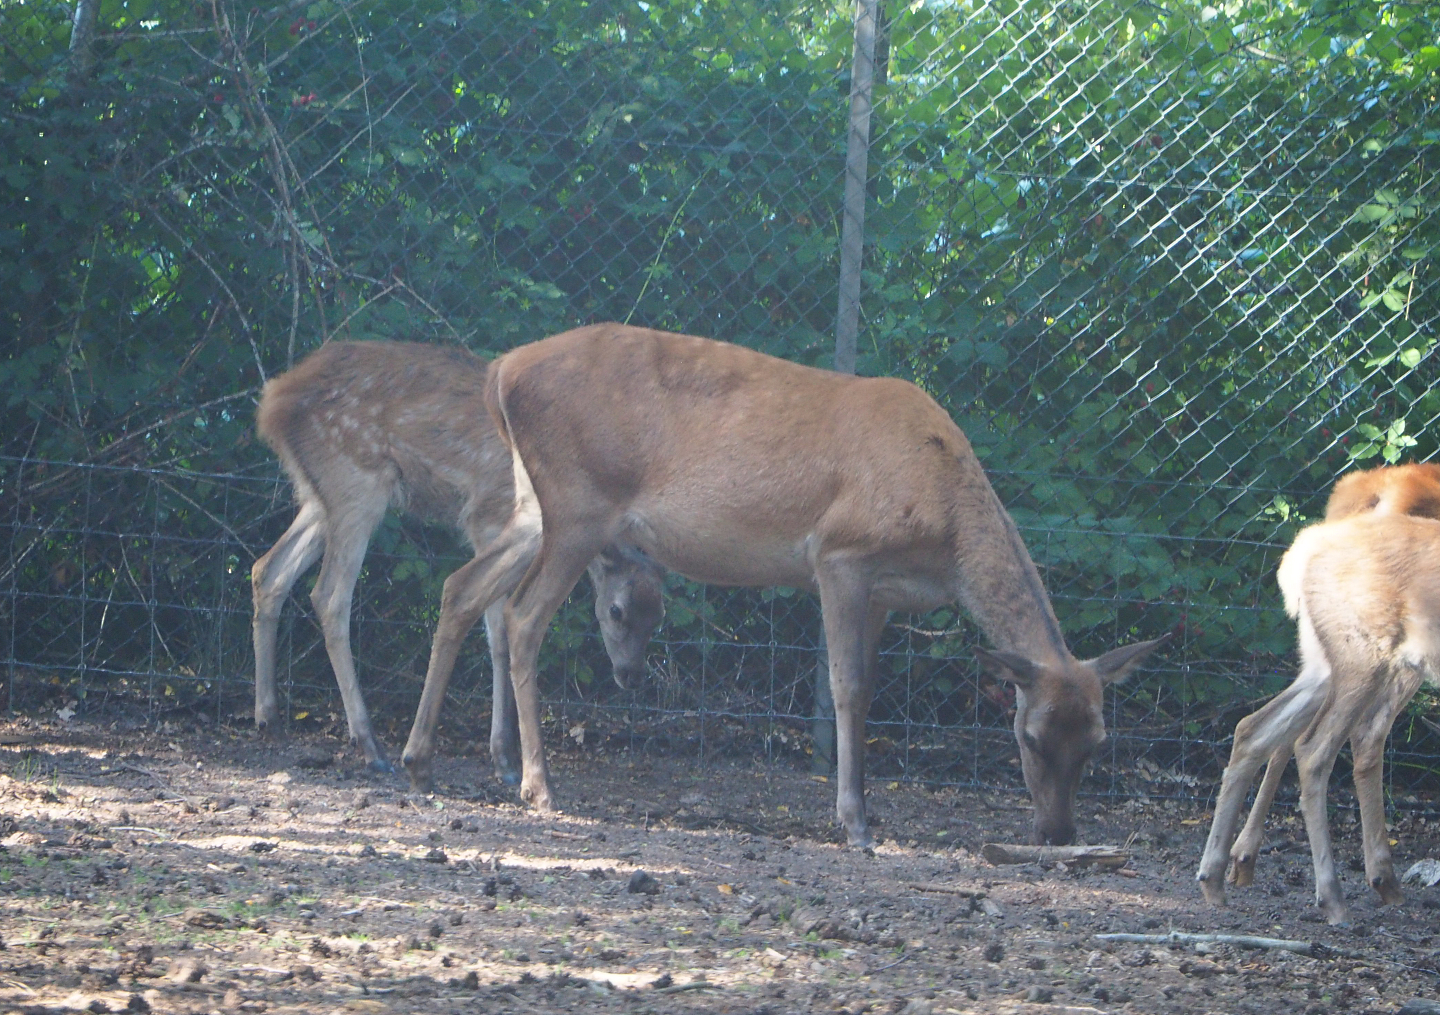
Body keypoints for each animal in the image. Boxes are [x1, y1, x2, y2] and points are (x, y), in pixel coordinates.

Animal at [252, 340, 666, 780]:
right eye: (616, 610)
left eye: (657, 617)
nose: (632, 676)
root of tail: (273, 401)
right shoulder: (487, 516)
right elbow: (497, 631)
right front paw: (504, 759)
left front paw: (504, 757)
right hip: (357, 481)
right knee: (329, 595)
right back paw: (369, 745)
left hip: (319, 494)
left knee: (269, 570)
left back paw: (270, 719)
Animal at [396, 324, 1166, 846]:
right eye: (1030, 737)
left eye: (1098, 741)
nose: (1059, 832)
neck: (943, 531)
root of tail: (500, 373)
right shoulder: (841, 553)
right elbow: (846, 687)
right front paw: (854, 820)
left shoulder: (887, 592)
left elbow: (871, 689)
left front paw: (864, 805)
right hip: (578, 501)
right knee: (522, 616)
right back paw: (537, 784)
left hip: (536, 506)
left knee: (462, 588)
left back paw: (420, 760)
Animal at [1203, 462, 1440, 896]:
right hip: (1369, 660)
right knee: (1328, 743)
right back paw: (1336, 891)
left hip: (1331, 661)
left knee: (1257, 728)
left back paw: (1223, 870)